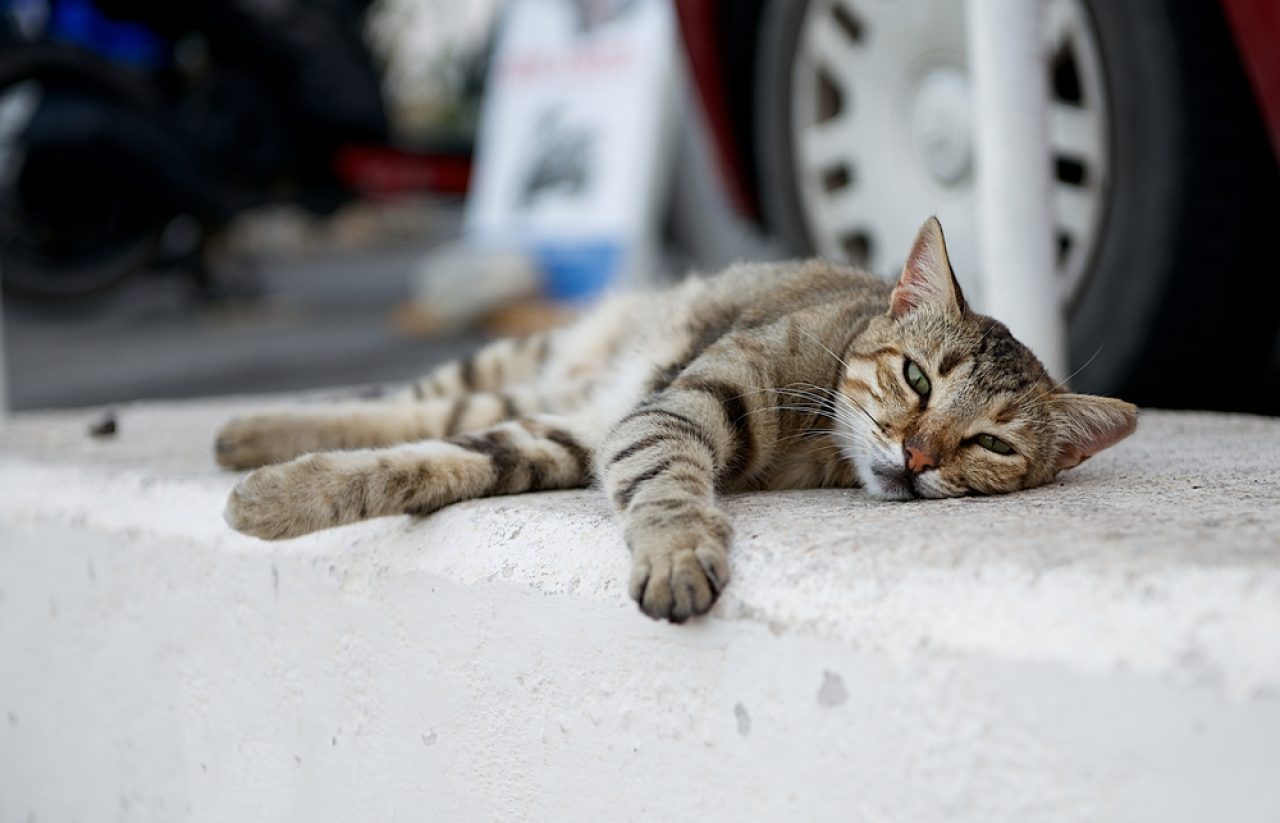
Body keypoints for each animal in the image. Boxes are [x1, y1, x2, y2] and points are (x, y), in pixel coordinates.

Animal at [217, 218, 1141, 624]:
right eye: (917, 378)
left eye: (990, 442)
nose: (917, 455)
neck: (820, 438)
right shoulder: (678, 405)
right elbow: (667, 485)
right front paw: (677, 552)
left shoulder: (587, 435)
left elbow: (433, 461)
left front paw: (275, 500)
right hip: (525, 358)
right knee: (405, 395)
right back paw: (246, 428)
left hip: (548, 398)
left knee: (436, 412)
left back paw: (249, 441)